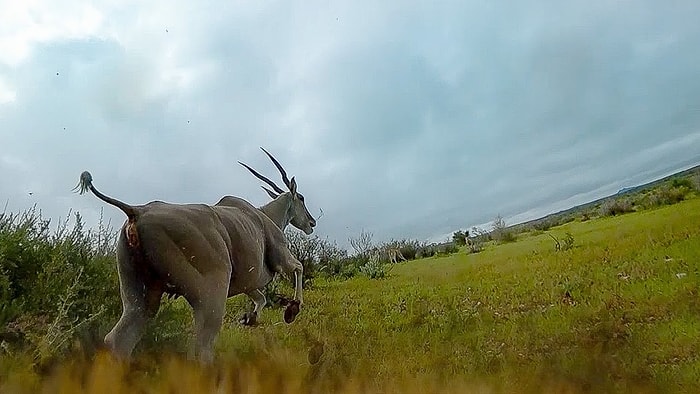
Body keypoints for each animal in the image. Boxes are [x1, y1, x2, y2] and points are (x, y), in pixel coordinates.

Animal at [76, 148, 314, 364]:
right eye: (301, 197)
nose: (311, 222)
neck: (264, 215)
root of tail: (137, 211)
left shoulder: (248, 284)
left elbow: (261, 298)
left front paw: (250, 318)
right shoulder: (280, 257)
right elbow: (298, 267)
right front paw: (292, 309)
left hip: (140, 296)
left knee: (118, 339)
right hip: (210, 296)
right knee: (202, 346)